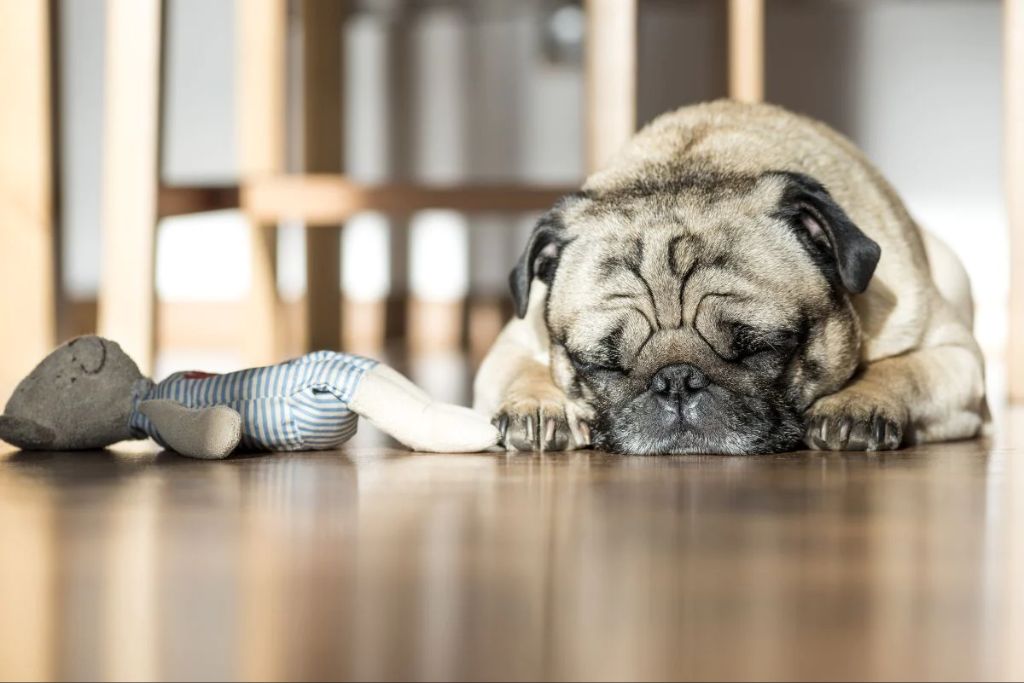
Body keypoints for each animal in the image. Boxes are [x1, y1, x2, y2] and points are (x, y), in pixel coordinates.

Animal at [475, 100, 987, 454]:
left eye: (761, 349)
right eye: (601, 364)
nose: (676, 381)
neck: (688, 168)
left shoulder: (956, 355)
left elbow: (905, 369)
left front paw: (859, 402)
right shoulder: (514, 343)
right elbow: (523, 370)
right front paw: (539, 405)